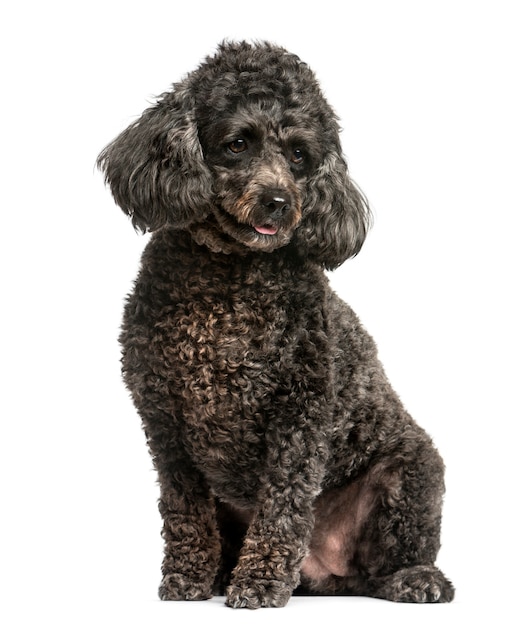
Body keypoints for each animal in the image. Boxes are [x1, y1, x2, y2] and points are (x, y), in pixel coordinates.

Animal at [97, 39, 456, 604]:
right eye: (238, 144)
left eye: (299, 155)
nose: (280, 202)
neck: (226, 283)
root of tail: (325, 573)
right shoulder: (165, 424)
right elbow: (184, 511)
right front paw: (187, 577)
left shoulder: (300, 417)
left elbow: (283, 507)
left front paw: (261, 581)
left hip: (412, 472)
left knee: (391, 561)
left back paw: (416, 580)